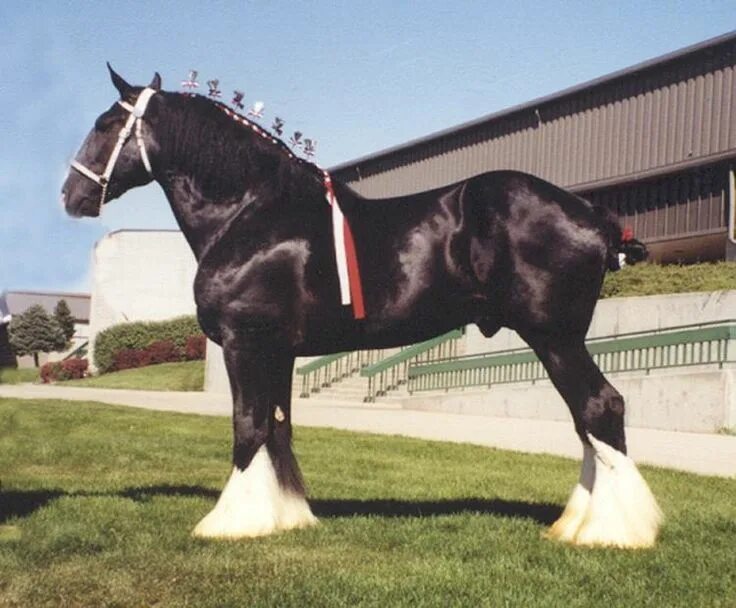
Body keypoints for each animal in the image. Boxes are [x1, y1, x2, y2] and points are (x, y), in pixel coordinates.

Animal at [61, 69, 660, 548]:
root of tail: (591, 215)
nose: (71, 195)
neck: (252, 214)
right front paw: (287, 516)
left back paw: (612, 531)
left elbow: (248, 427)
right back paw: (579, 524)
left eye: (105, 125)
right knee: (588, 420)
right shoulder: (277, 351)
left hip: (555, 337)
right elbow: (278, 427)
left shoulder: (244, 343)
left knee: (600, 408)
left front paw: (229, 523)